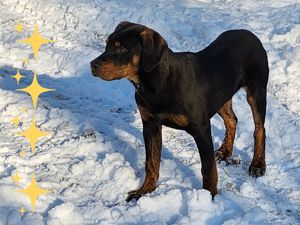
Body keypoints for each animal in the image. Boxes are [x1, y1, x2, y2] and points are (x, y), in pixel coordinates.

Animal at [90, 22, 268, 201]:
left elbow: (208, 167)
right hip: (222, 96)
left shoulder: (201, 128)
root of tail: (251, 35)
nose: (92, 64)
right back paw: (225, 152)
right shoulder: (150, 124)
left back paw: (258, 165)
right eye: (107, 44)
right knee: (232, 120)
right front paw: (144, 190)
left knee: (260, 129)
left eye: (122, 49)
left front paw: (210, 196)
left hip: (256, 92)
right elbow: (151, 162)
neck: (159, 83)